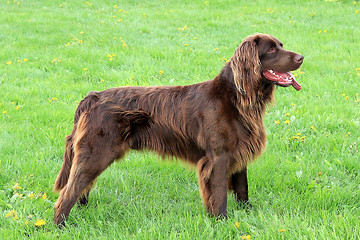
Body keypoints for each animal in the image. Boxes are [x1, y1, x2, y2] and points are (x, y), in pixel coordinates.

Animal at [53, 33, 304, 227]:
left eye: (280, 45)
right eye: (270, 49)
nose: (302, 57)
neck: (238, 98)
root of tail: (92, 97)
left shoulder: (239, 152)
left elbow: (242, 188)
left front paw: (248, 215)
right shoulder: (218, 157)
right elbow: (219, 195)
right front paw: (222, 222)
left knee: (82, 188)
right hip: (96, 152)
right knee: (68, 192)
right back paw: (61, 226)